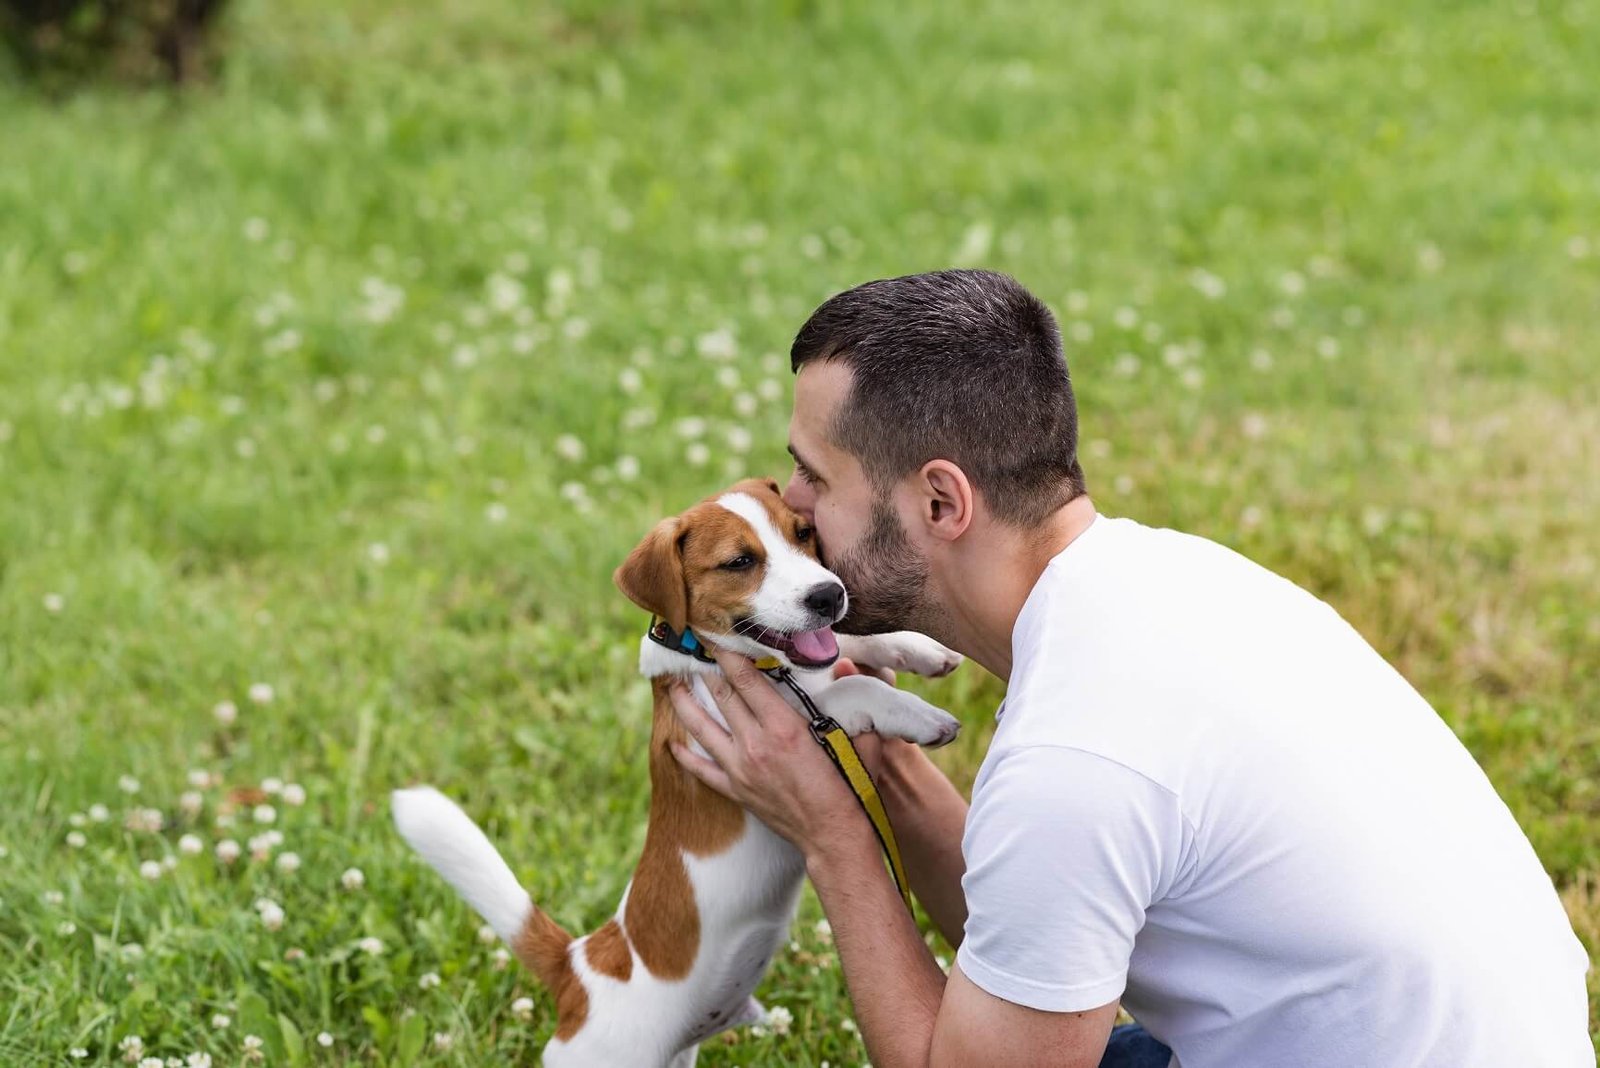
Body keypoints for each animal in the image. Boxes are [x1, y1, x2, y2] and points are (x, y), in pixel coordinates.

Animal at [392, 482, 953, 1068]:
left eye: (803, 532)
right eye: (739, 562)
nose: (829, 595)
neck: (715, 655)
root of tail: (577, 970)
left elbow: (846, 650)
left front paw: (919, 647)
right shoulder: (768, 730)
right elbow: (850, 689)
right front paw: (918, 714)